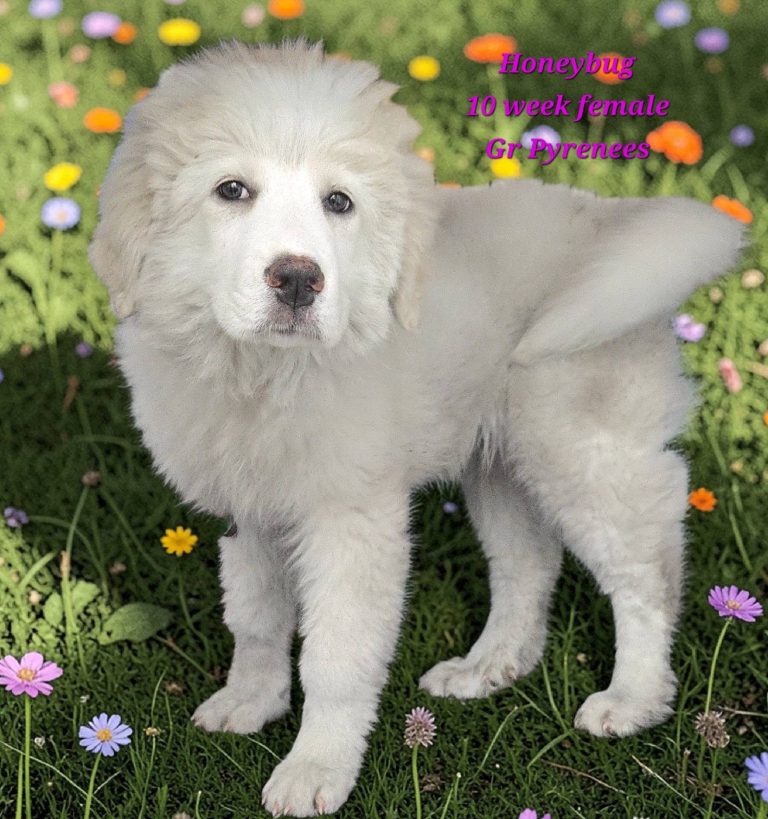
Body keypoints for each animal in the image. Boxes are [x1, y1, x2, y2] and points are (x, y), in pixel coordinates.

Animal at [88, 40, 744, 817]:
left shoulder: (352, 521)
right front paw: (250, 702)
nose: (298, 280)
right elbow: (254, 618)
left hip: (583, 451)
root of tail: (608, 221)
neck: (266, 373)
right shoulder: (253, 510)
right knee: (529, 564)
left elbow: (335, 657)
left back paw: (633, 699)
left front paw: (315, 768)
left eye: (339, 202)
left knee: (646, 571)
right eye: (231, 190)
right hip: (501, 465)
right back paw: (489, 667)